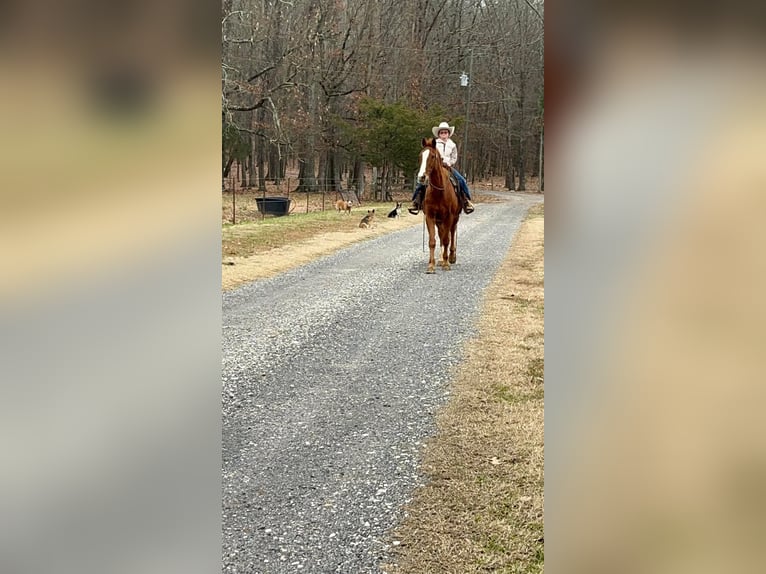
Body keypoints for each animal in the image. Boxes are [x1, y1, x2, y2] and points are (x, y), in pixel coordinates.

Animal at [416, 137, 462, 273]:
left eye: (432, 156)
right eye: (420, 156)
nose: (421, 177)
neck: (439, 191)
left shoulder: (449, 217)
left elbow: (447, 239)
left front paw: (446, 264)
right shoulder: (430, 217)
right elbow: (432, 241)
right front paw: (431, 265)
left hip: (454, 218)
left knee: (451, 233)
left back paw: (451, 257)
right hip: (439, 220)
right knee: (441, 235)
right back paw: (440, 259)